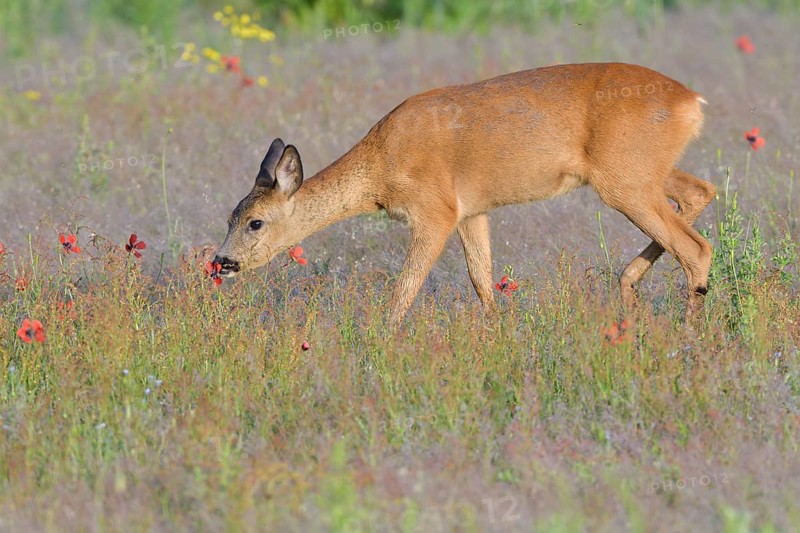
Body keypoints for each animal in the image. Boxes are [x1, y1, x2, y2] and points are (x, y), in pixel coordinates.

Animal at [213, 62, 716, 325]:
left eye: (255, 222)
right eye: (229, 217)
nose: (222, 262)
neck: (381, 166)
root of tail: (692, 102)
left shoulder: (434, 210)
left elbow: (405, 288)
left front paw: (380, 342)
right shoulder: (471, 211)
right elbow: (481, 278)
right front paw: (496, 334)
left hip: (623, 178)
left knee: (694, 246)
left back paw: (687, 334)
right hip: (642, 173)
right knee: (700, 193)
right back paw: (629, 287)